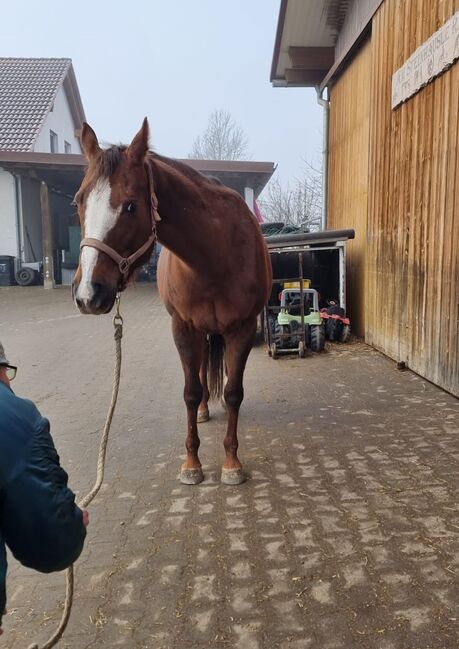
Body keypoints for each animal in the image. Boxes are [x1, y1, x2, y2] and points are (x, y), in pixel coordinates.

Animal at [73, 120, 272, 486]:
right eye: (78, 202)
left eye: (131, 206)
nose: (88, 294)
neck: (214, 257)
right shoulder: (182, 327)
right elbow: (190, 392)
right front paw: (192, 463)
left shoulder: (243, 328)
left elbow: (233, 392)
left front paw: (231, 463)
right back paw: (205, 410)